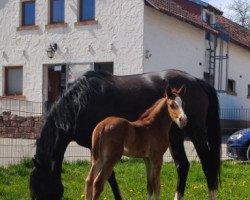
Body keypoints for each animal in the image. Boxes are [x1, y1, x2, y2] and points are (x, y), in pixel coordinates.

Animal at [29, 69, 221, 200]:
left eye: (38, 189)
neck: (80, 104)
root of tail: (198, 81)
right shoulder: (99, 150)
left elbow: (109, 177)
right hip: (175, 135)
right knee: (182, 165)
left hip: (195, 132)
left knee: (207, 163)